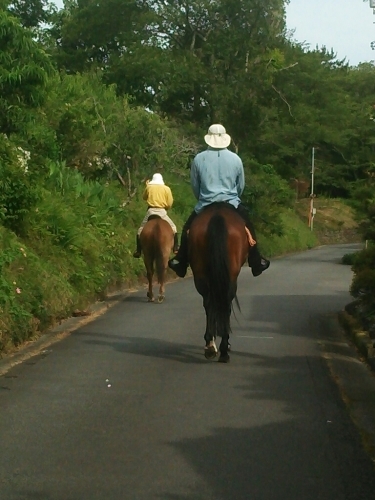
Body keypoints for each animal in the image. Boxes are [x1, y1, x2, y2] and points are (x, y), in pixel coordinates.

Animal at [188, 203, 250, 364]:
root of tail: (217, 216)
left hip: (201, 274)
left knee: (209, 303)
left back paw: (210, 347)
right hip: (230, 276)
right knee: (224, 304)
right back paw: (223, 349)